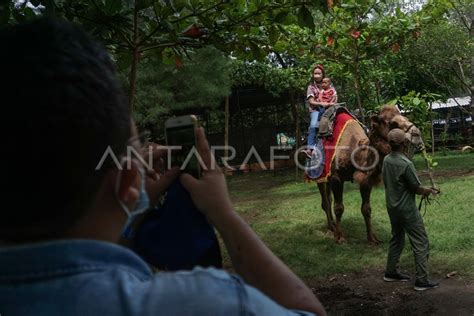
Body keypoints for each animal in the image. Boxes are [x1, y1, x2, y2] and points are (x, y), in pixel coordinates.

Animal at [318, 105, 422, 243]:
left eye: (405, 117)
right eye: (393, 123)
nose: (417, 134)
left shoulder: (366, 180)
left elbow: (366, 209)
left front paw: (372, 238)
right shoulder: (336, 178)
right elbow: (339, 208)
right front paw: (340, 237)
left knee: (328, 199)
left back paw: (333, 225)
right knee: (325, 202)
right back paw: (331, 228)